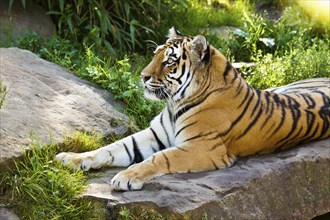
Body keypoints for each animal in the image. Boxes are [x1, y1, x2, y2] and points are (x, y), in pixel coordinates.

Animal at [54, 26, 330, 190]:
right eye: (155, 54)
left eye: (169, 61)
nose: (142, 76)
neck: (175, 102)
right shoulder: (154, 134)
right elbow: (111, 148)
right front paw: (71, 158)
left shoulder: (203, 148)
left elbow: (160, 157)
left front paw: (127, 177)